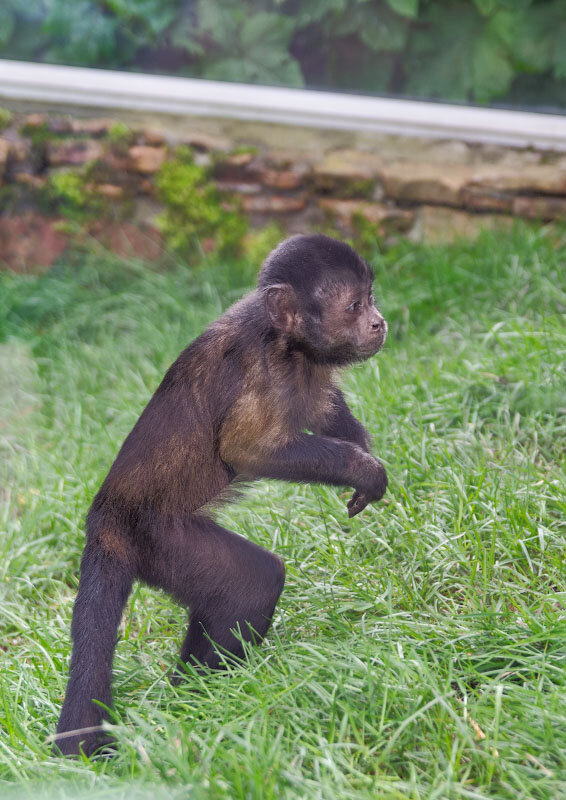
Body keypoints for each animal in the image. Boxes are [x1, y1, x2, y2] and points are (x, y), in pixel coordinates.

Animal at [54, 233, 390, 756]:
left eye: (371, 298)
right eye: (355, 305)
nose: (379, 321)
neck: (285, 342)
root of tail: (103, 520)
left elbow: (322, 405)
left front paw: (359, 448)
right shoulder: (263, 371)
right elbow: (247, 450)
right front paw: (363, 469)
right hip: (155, 537)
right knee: (252, 583)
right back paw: (207, 696)